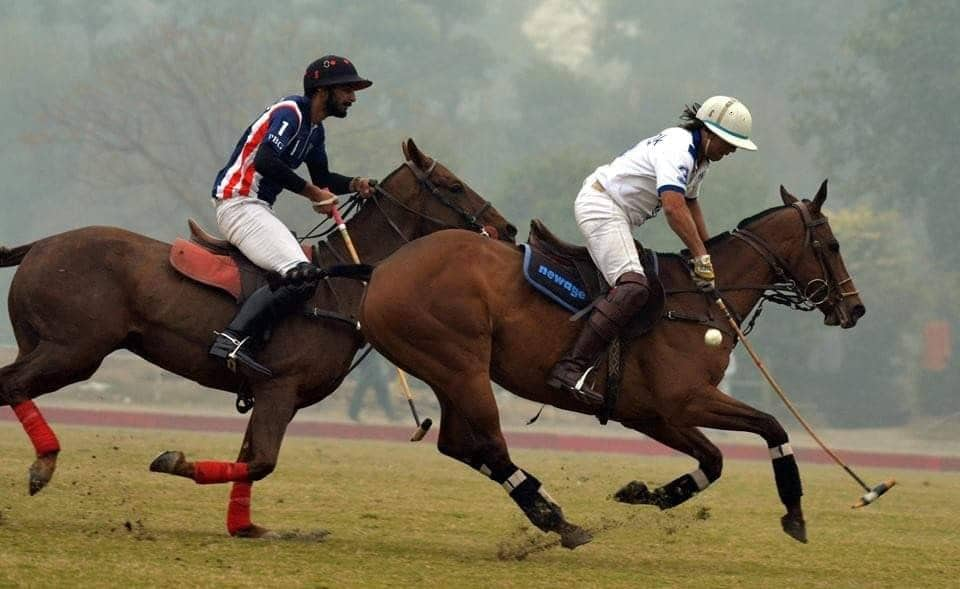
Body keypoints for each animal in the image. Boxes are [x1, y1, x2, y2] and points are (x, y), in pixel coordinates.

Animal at [0, 140, 516, 536]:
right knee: (12, 384)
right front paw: (173, 461)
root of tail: (39, 245)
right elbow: (263, 460)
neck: (338, 285)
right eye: (452, 185)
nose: (507, 228)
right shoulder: (280, 388)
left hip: (48, 346)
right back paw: (44, 463)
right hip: (73, 350)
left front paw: (246, 527)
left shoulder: (270, 393)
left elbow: (251, 458)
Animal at [362, 180, 872, 548]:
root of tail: (380, 271)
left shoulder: (653, 414)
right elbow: (772, 426)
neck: (704, 302)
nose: (855, 309)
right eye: (832, 244)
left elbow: (714, 459)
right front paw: (795, 514)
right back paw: (559, 522)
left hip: (445, 372)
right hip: (461, 365)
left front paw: (642, 493)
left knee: (457, 444)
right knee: (490, 444)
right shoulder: (688, 399)